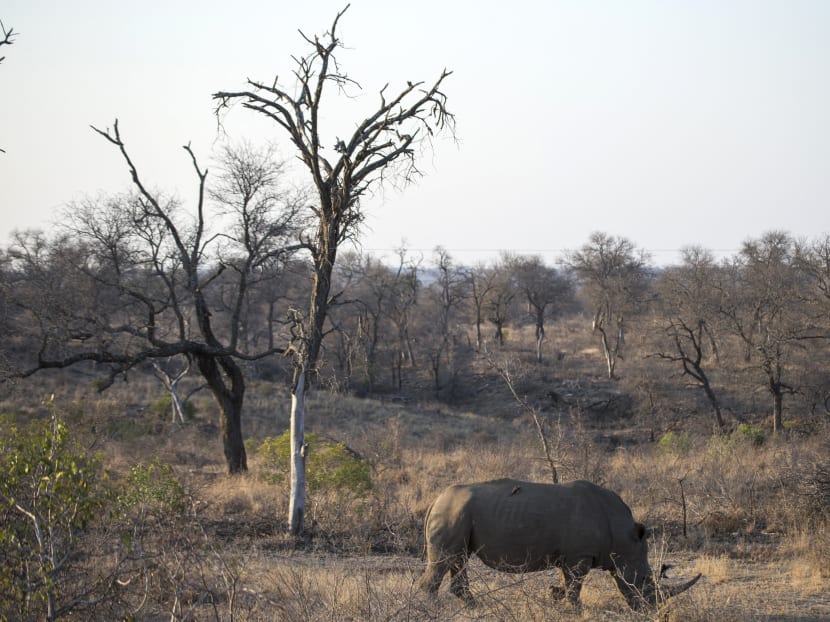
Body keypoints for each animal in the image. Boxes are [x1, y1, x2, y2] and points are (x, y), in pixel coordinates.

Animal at [418, 478, 701, 609]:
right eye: (642, 580)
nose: (650, 609)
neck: (624, 536)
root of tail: (435, 500)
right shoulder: (579, 556)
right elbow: (575, 585)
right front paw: (575, 609)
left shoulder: (571, 556)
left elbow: (568, 583)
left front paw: (559, 599)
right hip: (452, 513)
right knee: (444, 561)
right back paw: (431, 609)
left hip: (458, 514)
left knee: (458, 559)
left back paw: (476, 607)